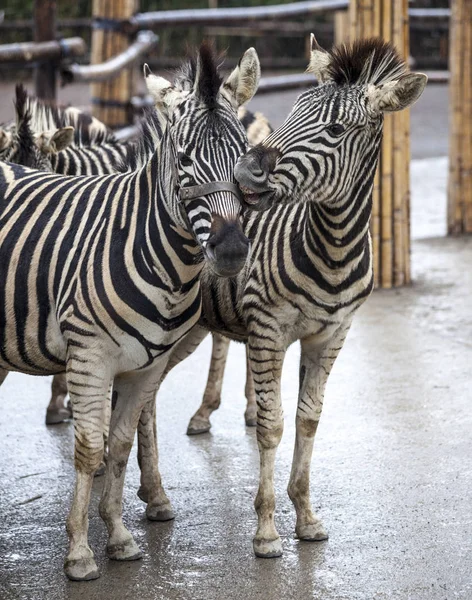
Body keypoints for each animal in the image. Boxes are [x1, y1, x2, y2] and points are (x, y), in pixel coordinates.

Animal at [0, 43, 260, 580]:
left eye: (245, 155)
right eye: (183, 159)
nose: (229, 250)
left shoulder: (145, 363)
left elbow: (119, 440)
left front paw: (121, 532)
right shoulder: (90, 356)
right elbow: (90, 446)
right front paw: (80, 552)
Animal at [134, 37, 428, 560]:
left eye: (335, 130)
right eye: (291, 113)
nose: (247, 172)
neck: (331, 251)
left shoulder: (332, 335)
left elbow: (308, 419)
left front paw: (306, 517)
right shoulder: (268, 331)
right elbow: (271, 426)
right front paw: (267, 531)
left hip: (187, 333)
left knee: (143, 398)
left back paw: (154, 494)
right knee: (139, 401)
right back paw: (154, 494)